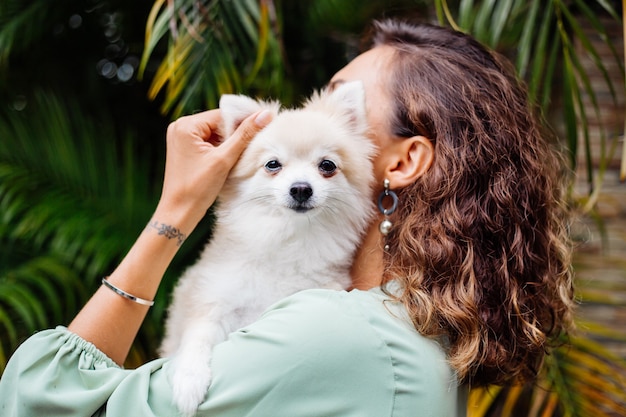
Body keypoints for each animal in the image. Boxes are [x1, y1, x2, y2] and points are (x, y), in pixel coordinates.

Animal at [161, 80, 376, 412]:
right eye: (273, 164)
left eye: (327, 165)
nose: (300, 188)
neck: (287, 237)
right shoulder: (215, 299)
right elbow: (196, 336)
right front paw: (189, 380)